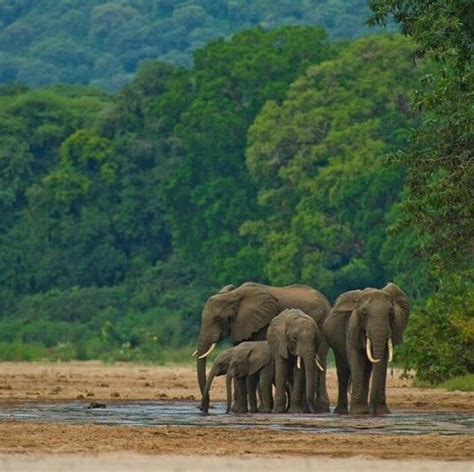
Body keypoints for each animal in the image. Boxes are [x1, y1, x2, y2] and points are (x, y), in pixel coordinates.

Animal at [192, 282, 330, 412]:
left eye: (219, 319)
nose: (204, 409)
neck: (233, 295)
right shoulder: (241, 326)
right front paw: (236, 410)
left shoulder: (261, 322)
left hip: (321, 326)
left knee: (321, 362)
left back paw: (321, 409)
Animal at [324, 282, 410, 414]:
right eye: (364, 314)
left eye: (391, 313)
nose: (373, 410)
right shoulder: (353, 327)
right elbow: (357, 359)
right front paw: (358, 412)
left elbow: (382, 362)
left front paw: (382, 412)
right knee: (343, 372)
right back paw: (342, 411)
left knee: (367, 371)